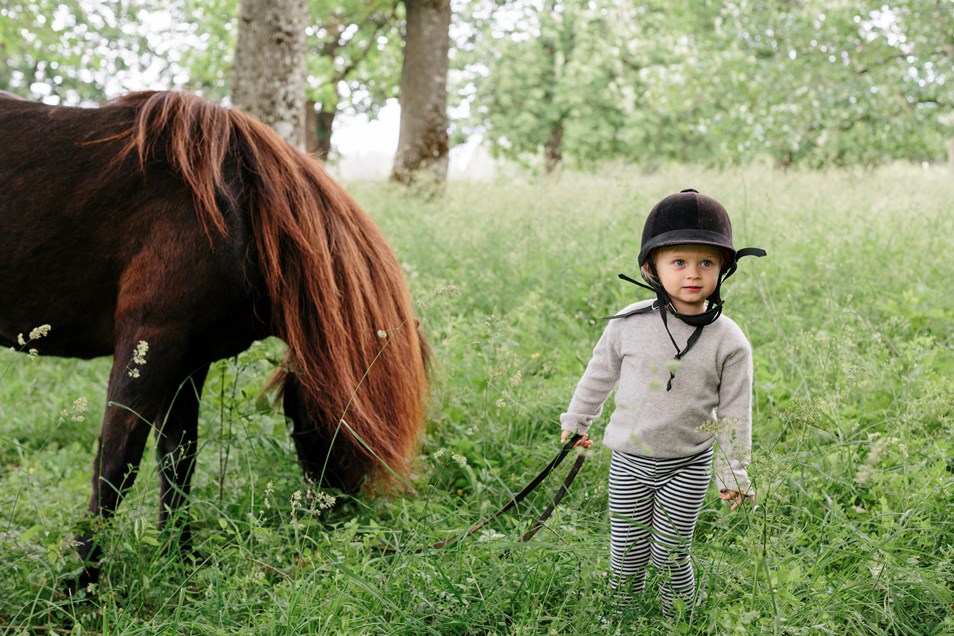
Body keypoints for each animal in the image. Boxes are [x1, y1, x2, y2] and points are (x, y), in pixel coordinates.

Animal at [0, 89, 428, 588]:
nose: (339, 505)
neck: (235, 209)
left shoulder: (188, 359)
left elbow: (178, 460)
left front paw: (180, 560)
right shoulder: (148, 343)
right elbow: (115, 467)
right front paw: (80, 582)